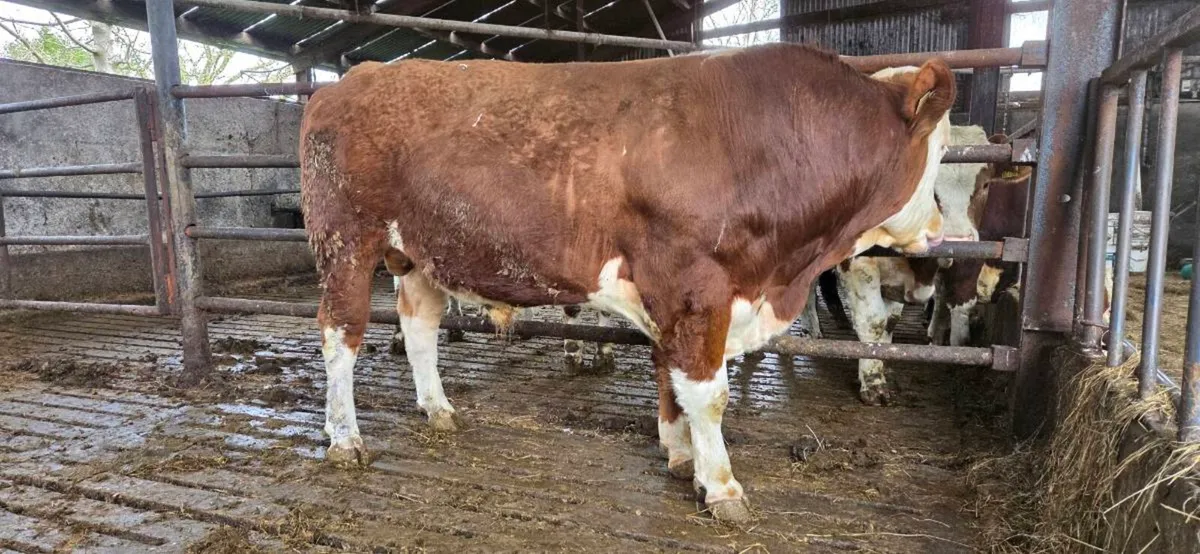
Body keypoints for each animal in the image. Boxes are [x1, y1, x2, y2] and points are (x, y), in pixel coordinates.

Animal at [299, 43, 955, 523]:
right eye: (943, 149)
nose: (940, 232)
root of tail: (345, 82)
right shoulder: (697, 287)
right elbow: (707, 393)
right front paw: (722, 486)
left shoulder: (677, 297)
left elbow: (672, 378)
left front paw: (681, 456)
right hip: (346, 243)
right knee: (340, 337)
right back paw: (344, 438)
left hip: (420, 254)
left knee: (419, 327)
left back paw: (437, 408)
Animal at [812, 124, 994, 405]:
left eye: (985, 184)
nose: (958, 240)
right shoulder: (859, 266)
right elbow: (873, 322)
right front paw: (873, 382)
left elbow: (889, 322)